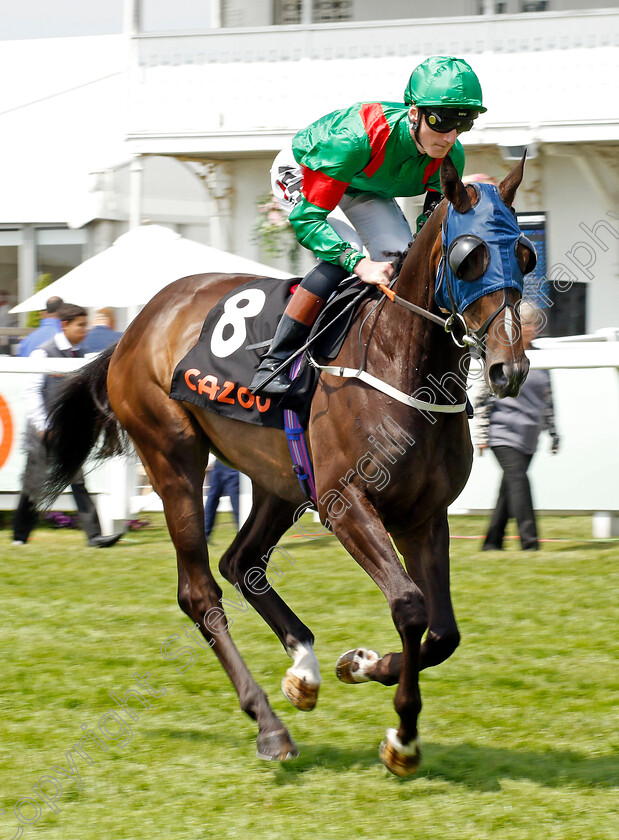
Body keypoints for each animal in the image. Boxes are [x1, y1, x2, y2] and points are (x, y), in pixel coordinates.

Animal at [46, 156, 536, 776]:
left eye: (525, 252)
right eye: (470, 256)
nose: (508, 369)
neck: (399, 361)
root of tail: (136, 326)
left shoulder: (424, 514)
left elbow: (443, 632)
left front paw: (362, 664)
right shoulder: (345, 503)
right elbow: (409, 605)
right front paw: (401, 738)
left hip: (279, 482)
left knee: (241, 562)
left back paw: (304, 669)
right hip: (172, 454)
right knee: (201, 591)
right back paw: (270, 726)